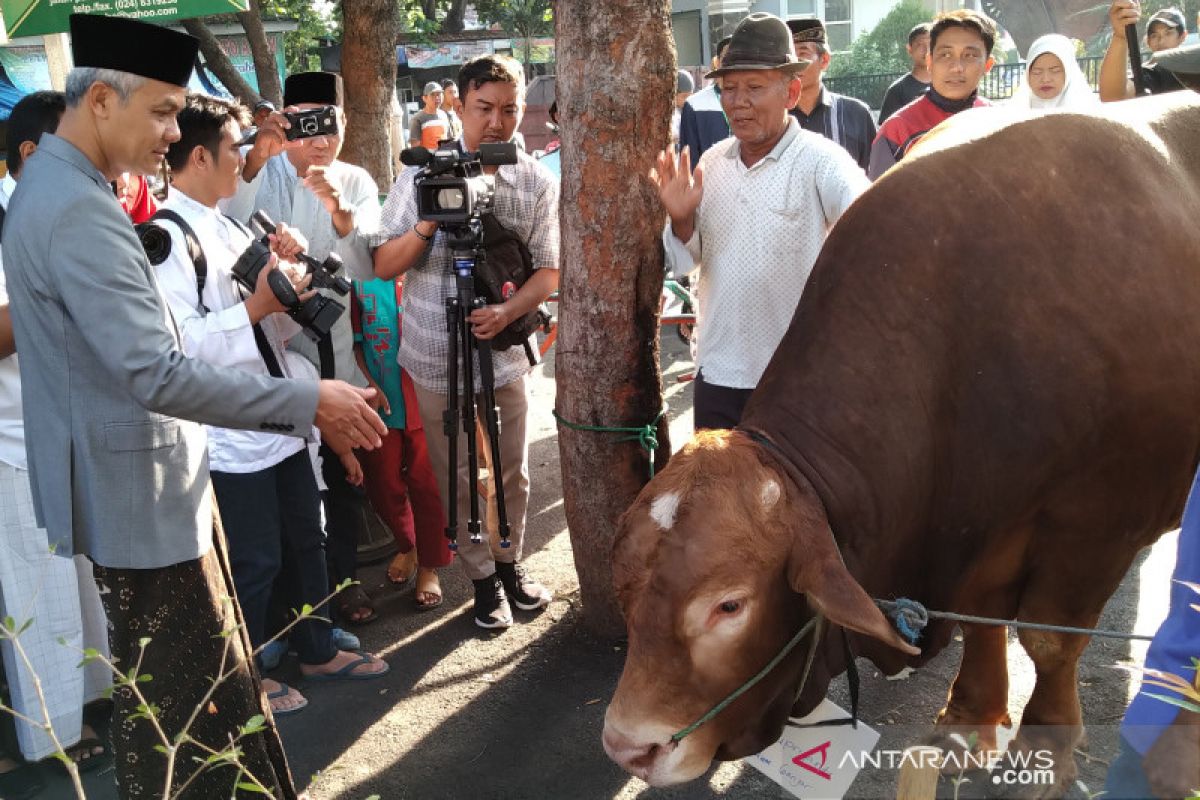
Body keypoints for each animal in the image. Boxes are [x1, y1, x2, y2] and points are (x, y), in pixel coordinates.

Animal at [604, 90, 1200, 791]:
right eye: (624, 582)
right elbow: (983, 618)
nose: (628, 746)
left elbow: (1051, 641)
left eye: (729, 606)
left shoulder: (1097, 529)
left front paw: (1044, 750)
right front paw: (970, 716)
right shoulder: (975, 529)